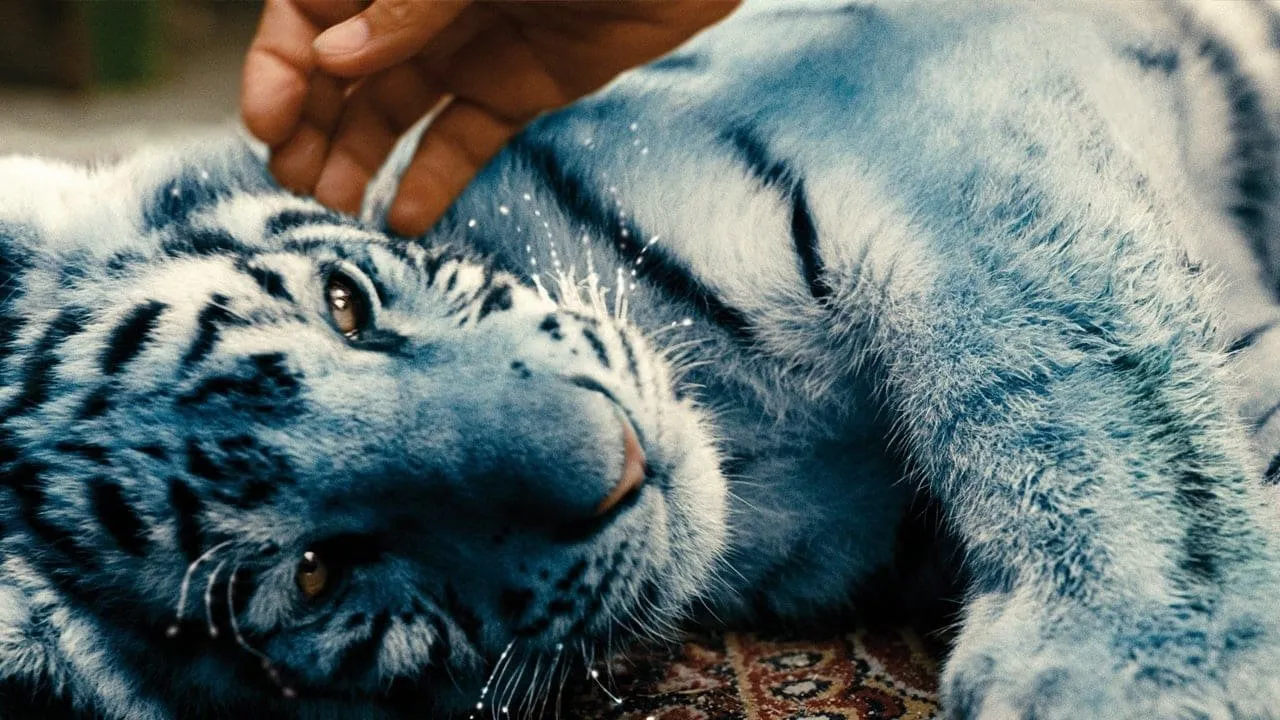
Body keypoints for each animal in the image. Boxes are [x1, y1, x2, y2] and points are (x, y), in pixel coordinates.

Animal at [4, 0, 1280, 718]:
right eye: (319, 573)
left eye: (345, 304)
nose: (616, 459)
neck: (752, 447)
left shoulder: (912, 97)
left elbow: (1068, 363)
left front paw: (1145, 660)